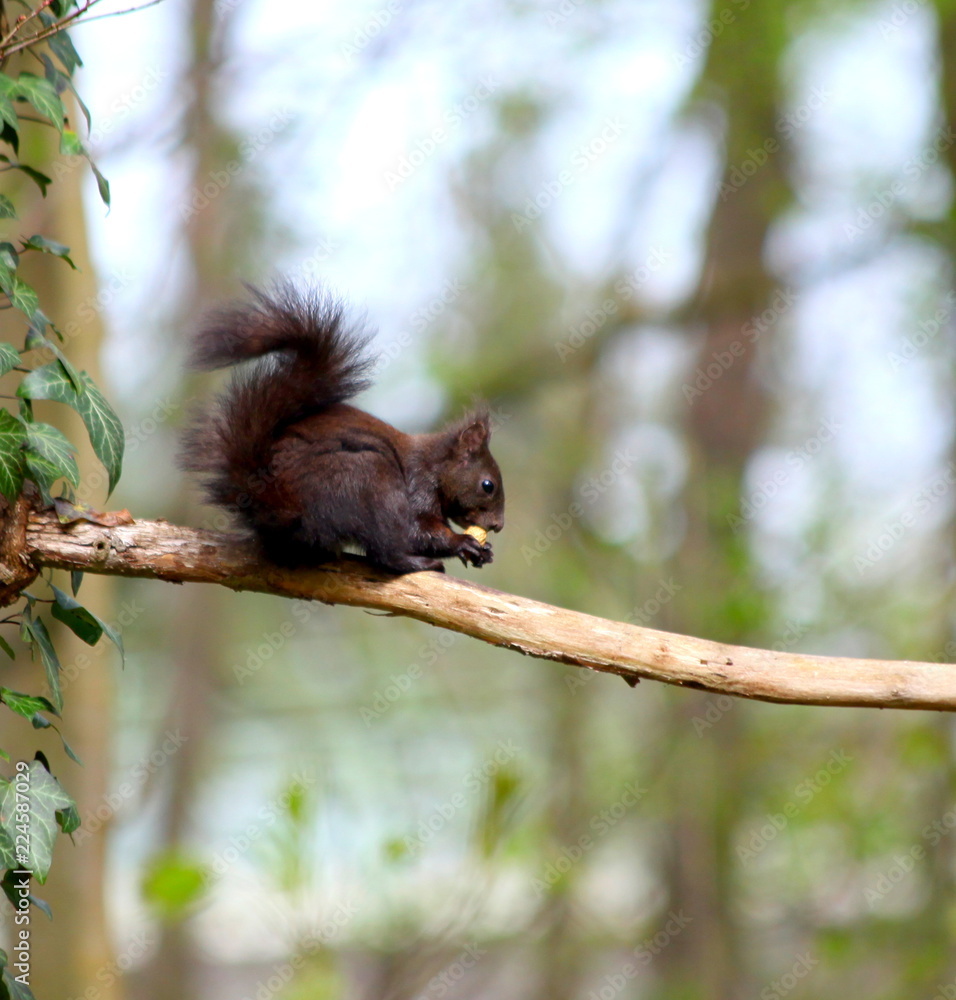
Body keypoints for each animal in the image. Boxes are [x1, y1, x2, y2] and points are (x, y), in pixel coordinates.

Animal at [179, 285, 505, 575]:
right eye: (487, 485)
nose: (498, 526)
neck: (435, 467)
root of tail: (276, 504)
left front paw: (484, 550)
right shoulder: (417, 488)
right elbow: (419, 530)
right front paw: (462, 543)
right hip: (367, 480)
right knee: (385, 550)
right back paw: (416, 563)